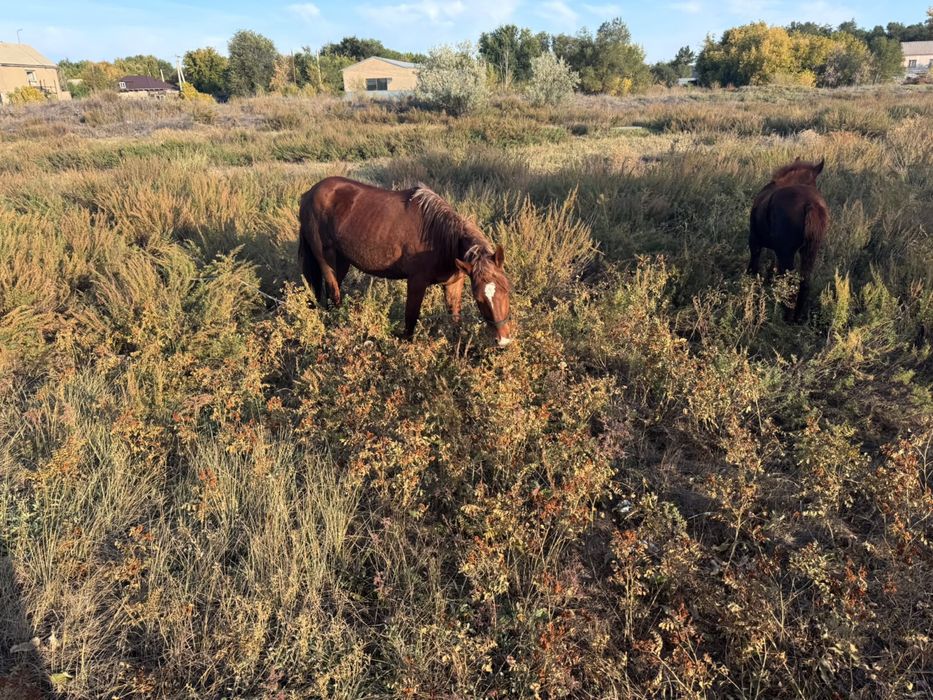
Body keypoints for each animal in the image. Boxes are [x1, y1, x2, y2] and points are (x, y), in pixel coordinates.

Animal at [298, 176, 514, 347]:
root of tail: (309, 194)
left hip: (342, 261)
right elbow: (410, 319)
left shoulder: (454, 283)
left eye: (506, 290)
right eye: (479, 298)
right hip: (325, 260)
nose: (503, 340)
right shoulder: (416, 282)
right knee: (333, 291)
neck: (440, 238)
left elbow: (455, 320)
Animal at [748, 157, 830, 322]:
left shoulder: (755, 240)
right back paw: (796, 317)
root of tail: (810, 204)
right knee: (804, 281)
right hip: (809, 251)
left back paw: (786, 315)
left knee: (791, 282)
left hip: (787, 252)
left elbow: (754, 263)